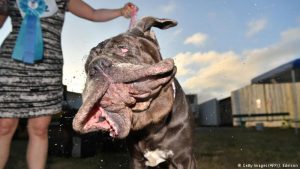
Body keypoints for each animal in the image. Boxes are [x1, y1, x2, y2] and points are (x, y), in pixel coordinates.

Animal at [72, 16, 197, 169]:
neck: (150, 121)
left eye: (123, 48)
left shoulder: (184, 159)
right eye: (87, 66)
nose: (96, 66)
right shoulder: (136, 160)